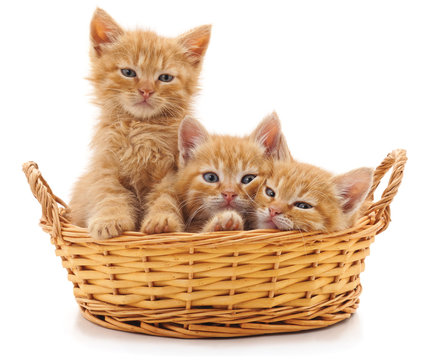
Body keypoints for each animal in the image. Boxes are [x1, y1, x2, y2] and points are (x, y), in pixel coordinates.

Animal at [69, 7, 211, 239]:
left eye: (165, 78)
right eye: (128, 72)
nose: (146, 90)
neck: (140, 128)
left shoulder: (170, 173)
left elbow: (165, 197)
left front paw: (162, 221)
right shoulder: (106, 166)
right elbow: (109, 194)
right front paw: (109, 220)